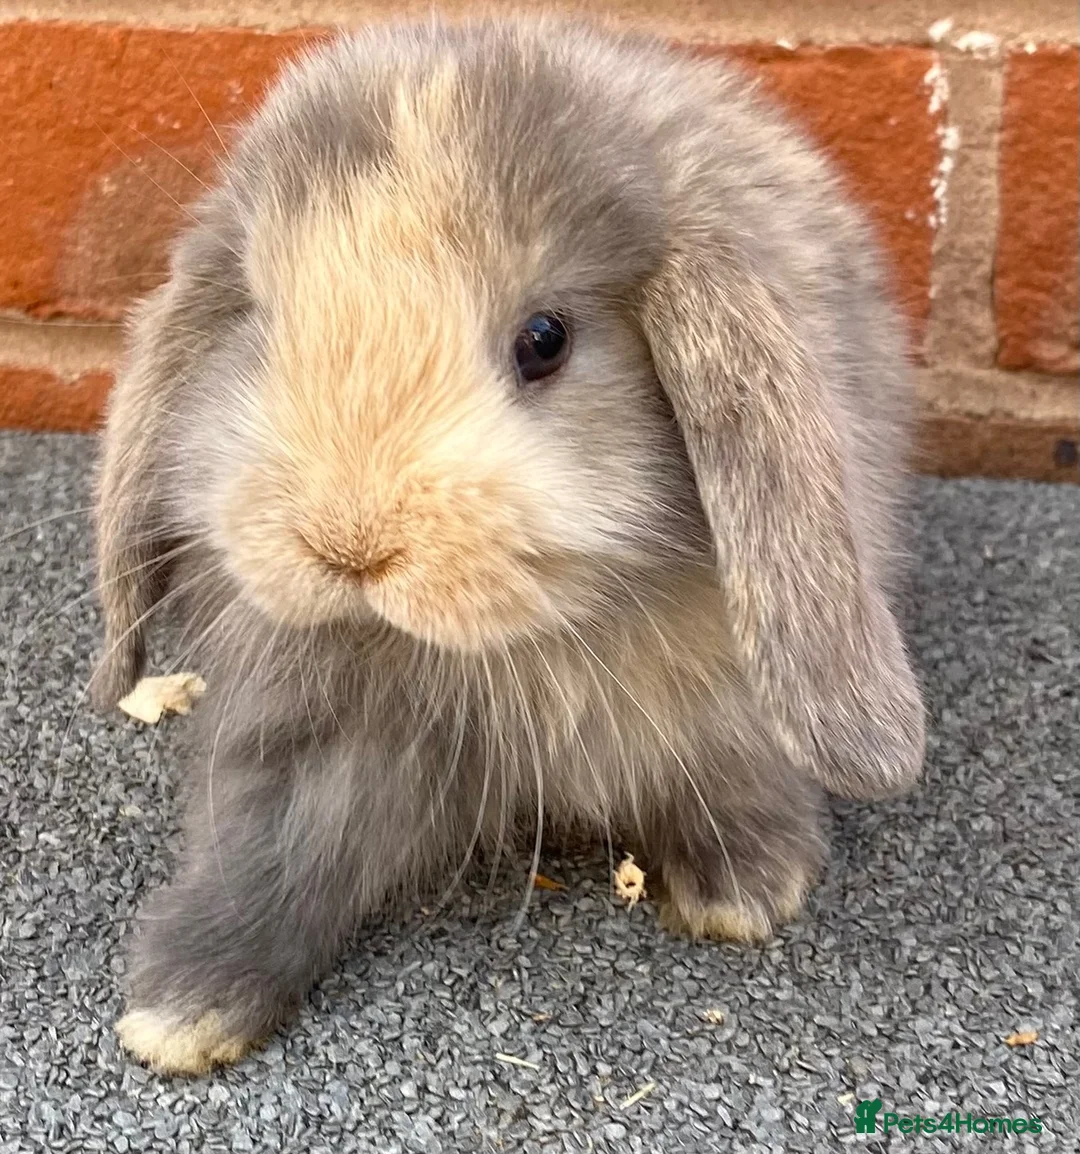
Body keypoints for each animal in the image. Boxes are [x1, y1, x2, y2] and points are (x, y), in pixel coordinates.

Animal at [91, 16, 925, 1075]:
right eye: (264, 323)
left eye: (545, 339)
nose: (350, 546)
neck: (523, 644)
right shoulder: (305, 729)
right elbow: (271, 845)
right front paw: (183, 1010)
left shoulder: (734, 702)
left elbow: (738, 770)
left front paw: (747, 887)